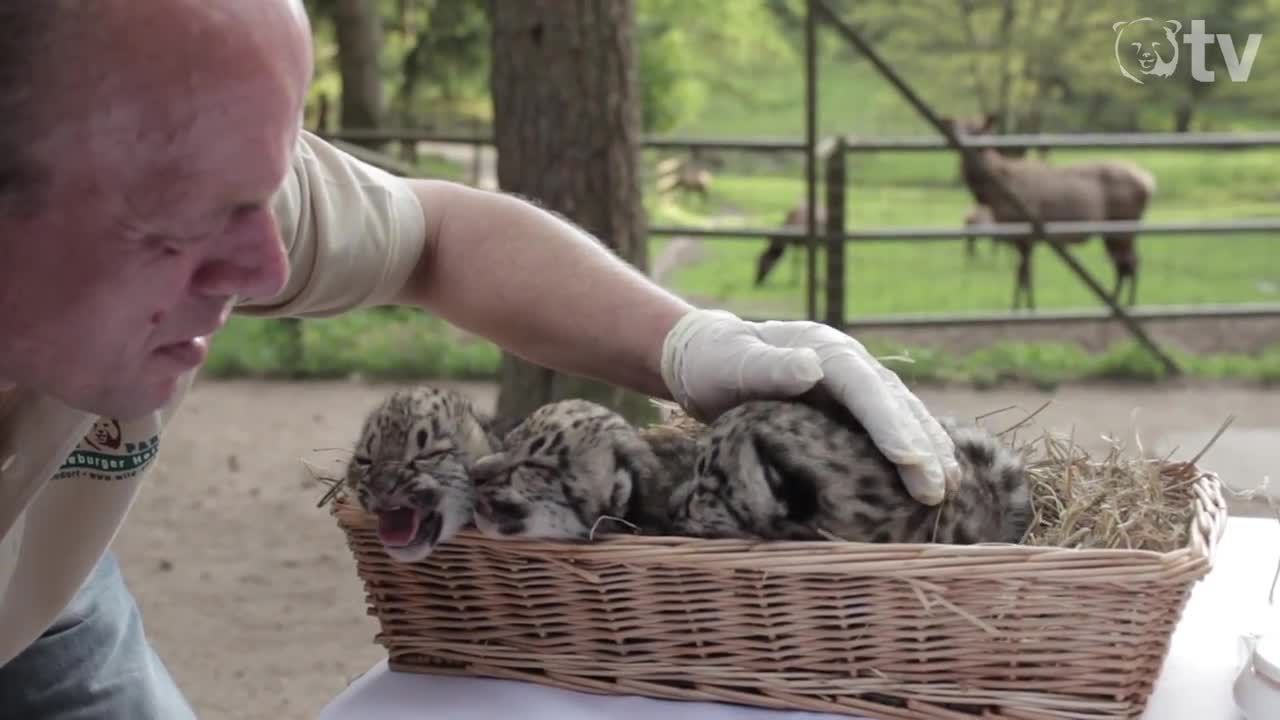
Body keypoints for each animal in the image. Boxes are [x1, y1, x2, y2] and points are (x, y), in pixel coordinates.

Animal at [942, 114, 1162, 308]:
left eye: (977, 129)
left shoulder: (1025, 234)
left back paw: (1125, 305)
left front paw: (1024, 308)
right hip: (1115, 231)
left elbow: (1024, 275)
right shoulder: (1019, 237)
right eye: (956, 126)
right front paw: (1021, 307)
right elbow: (1023, 275)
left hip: (1122, 225)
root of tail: (1149, 182)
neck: (993, 194)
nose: (958, 140)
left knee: (1131, 263)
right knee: (1123, 266)